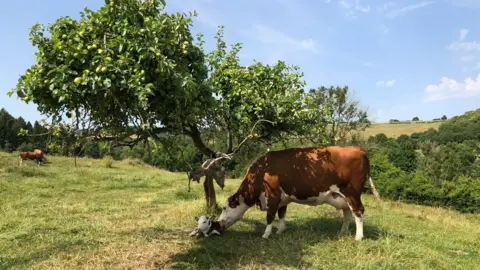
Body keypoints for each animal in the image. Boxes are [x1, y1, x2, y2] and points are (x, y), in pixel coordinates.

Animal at [219, 147, 380, 242]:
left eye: (225, 208)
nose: (219, 223)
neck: (261, 171)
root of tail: (358, 149)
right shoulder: (283, 198)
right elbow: (281, 213)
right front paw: (280, 231)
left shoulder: (273, 194)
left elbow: (270, 216)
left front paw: (266, 234)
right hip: (343, 197)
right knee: (347, 214)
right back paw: (343, 232)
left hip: (352, 193)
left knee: (358, 212)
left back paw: (358, 237)